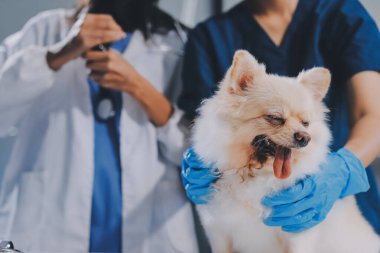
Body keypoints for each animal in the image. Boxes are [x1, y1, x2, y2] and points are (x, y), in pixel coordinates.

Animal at [193, 50, 380, 253]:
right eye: (275, 118)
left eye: (305, 123)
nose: (305, 137)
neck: (256, 176)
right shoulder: (218, 231)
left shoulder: (298, 232)